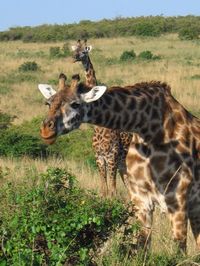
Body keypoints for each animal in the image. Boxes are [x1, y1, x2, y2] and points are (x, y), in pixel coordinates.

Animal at [38, 75, 200, 254]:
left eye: (75, 104)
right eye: (48, 103)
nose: (46, 130)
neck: (148, 129)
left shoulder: (178, 202)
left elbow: (179, 252)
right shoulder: (141, 201)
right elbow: (142, 249)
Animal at [70, 40, 133, 197]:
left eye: (84, 51)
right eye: (75, 49)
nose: (74, 57)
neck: (99, 127)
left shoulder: (111, 157)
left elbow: (113, 191)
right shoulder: (99, 157)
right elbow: (104, 191)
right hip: (123, 164)